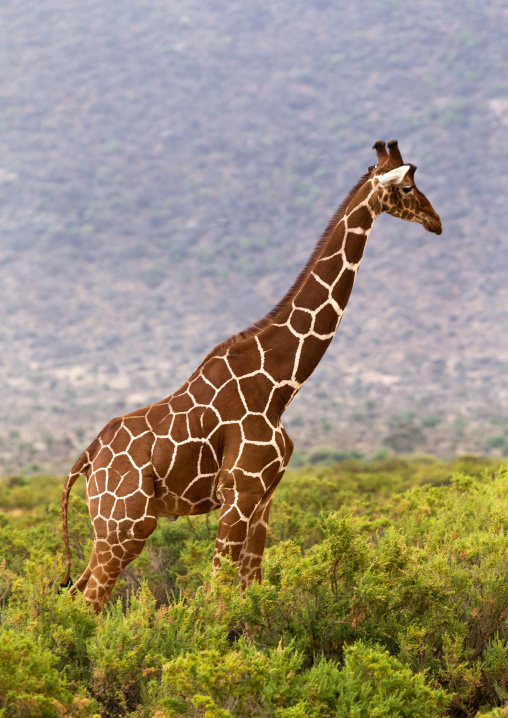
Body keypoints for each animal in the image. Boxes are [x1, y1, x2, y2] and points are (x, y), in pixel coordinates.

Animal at [61, 140, 441, 611]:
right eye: (407, 187)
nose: (436, 221)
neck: (279, 387)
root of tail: (87, 458)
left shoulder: (265, 496)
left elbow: (251, 587)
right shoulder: (238, 491)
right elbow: (217, 594)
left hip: (112, 526)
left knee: (77, 594)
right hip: (126, 523)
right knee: (89, 599)